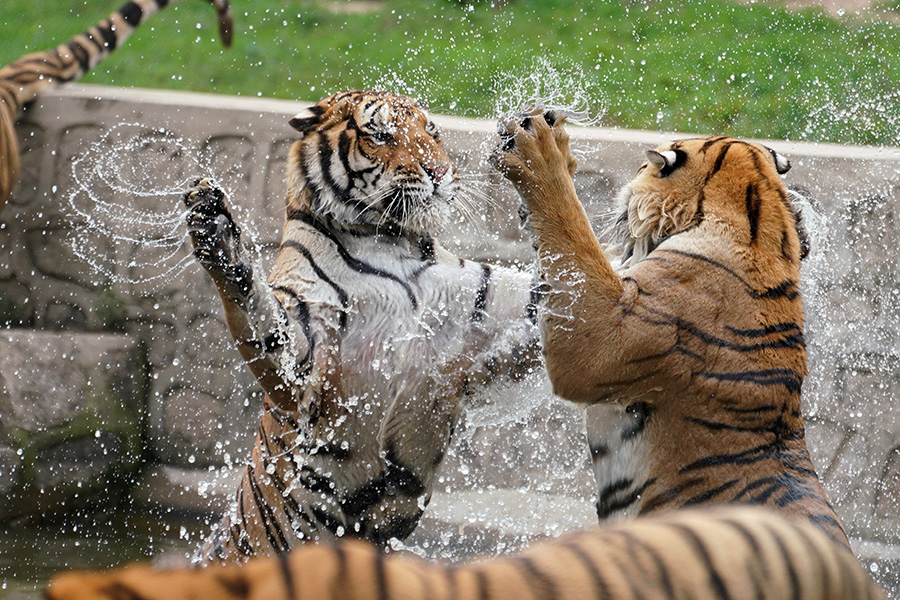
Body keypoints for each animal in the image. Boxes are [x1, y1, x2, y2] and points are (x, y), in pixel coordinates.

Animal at [179, 89, 536, 564]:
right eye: (380, 135)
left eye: (431, 131)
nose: (439, 172)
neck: (388, 240)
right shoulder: (304, 355)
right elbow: (261, 316)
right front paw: (215, 228)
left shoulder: (484, 304)